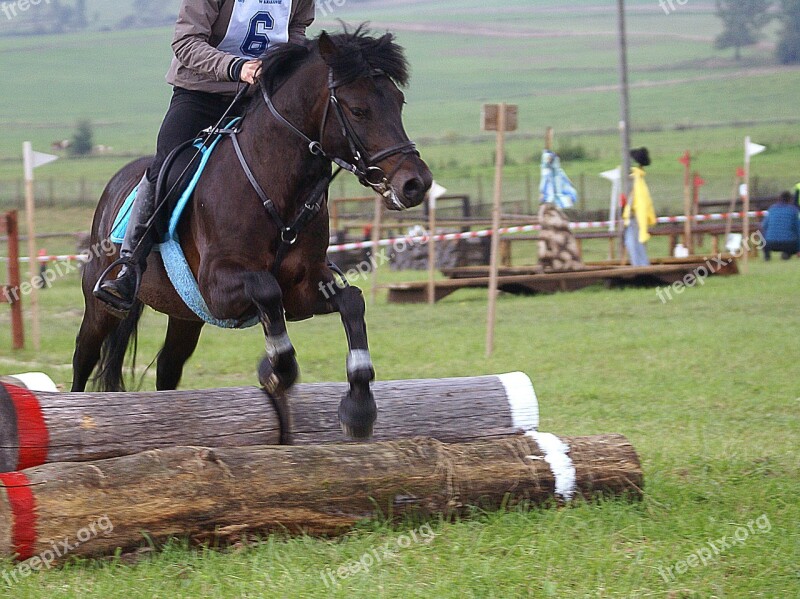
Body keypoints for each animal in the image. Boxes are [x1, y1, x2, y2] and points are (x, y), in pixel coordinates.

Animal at [72, 28, 434, 438]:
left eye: (398, 101)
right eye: (358, 110)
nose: (416, 184)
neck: (274, 184)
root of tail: (115, 184)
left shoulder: (303, 290)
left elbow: (352, 301)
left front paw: (359, 407)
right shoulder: (218, 286)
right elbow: (266, 289)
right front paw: (275, 370)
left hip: (186, 315)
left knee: (168, 367)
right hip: (101, 303)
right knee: (83, 358)